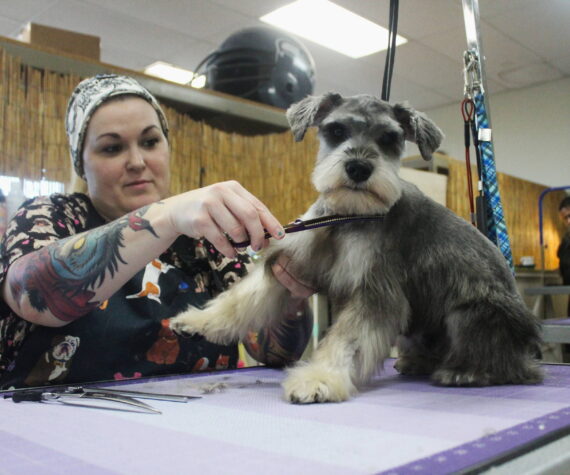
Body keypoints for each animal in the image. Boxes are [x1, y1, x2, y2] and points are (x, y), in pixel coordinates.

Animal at [170, 94, 540, 406]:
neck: (346, 214)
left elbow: (346, 338)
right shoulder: (289, 262)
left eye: (389, 139)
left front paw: (319, 379)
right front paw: (198, 320)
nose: (359, 168)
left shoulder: (375, 290)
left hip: (471, 314)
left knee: (507, 363)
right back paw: (417, 361)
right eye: (336, 130)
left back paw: (466, 371)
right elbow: (241, 298)